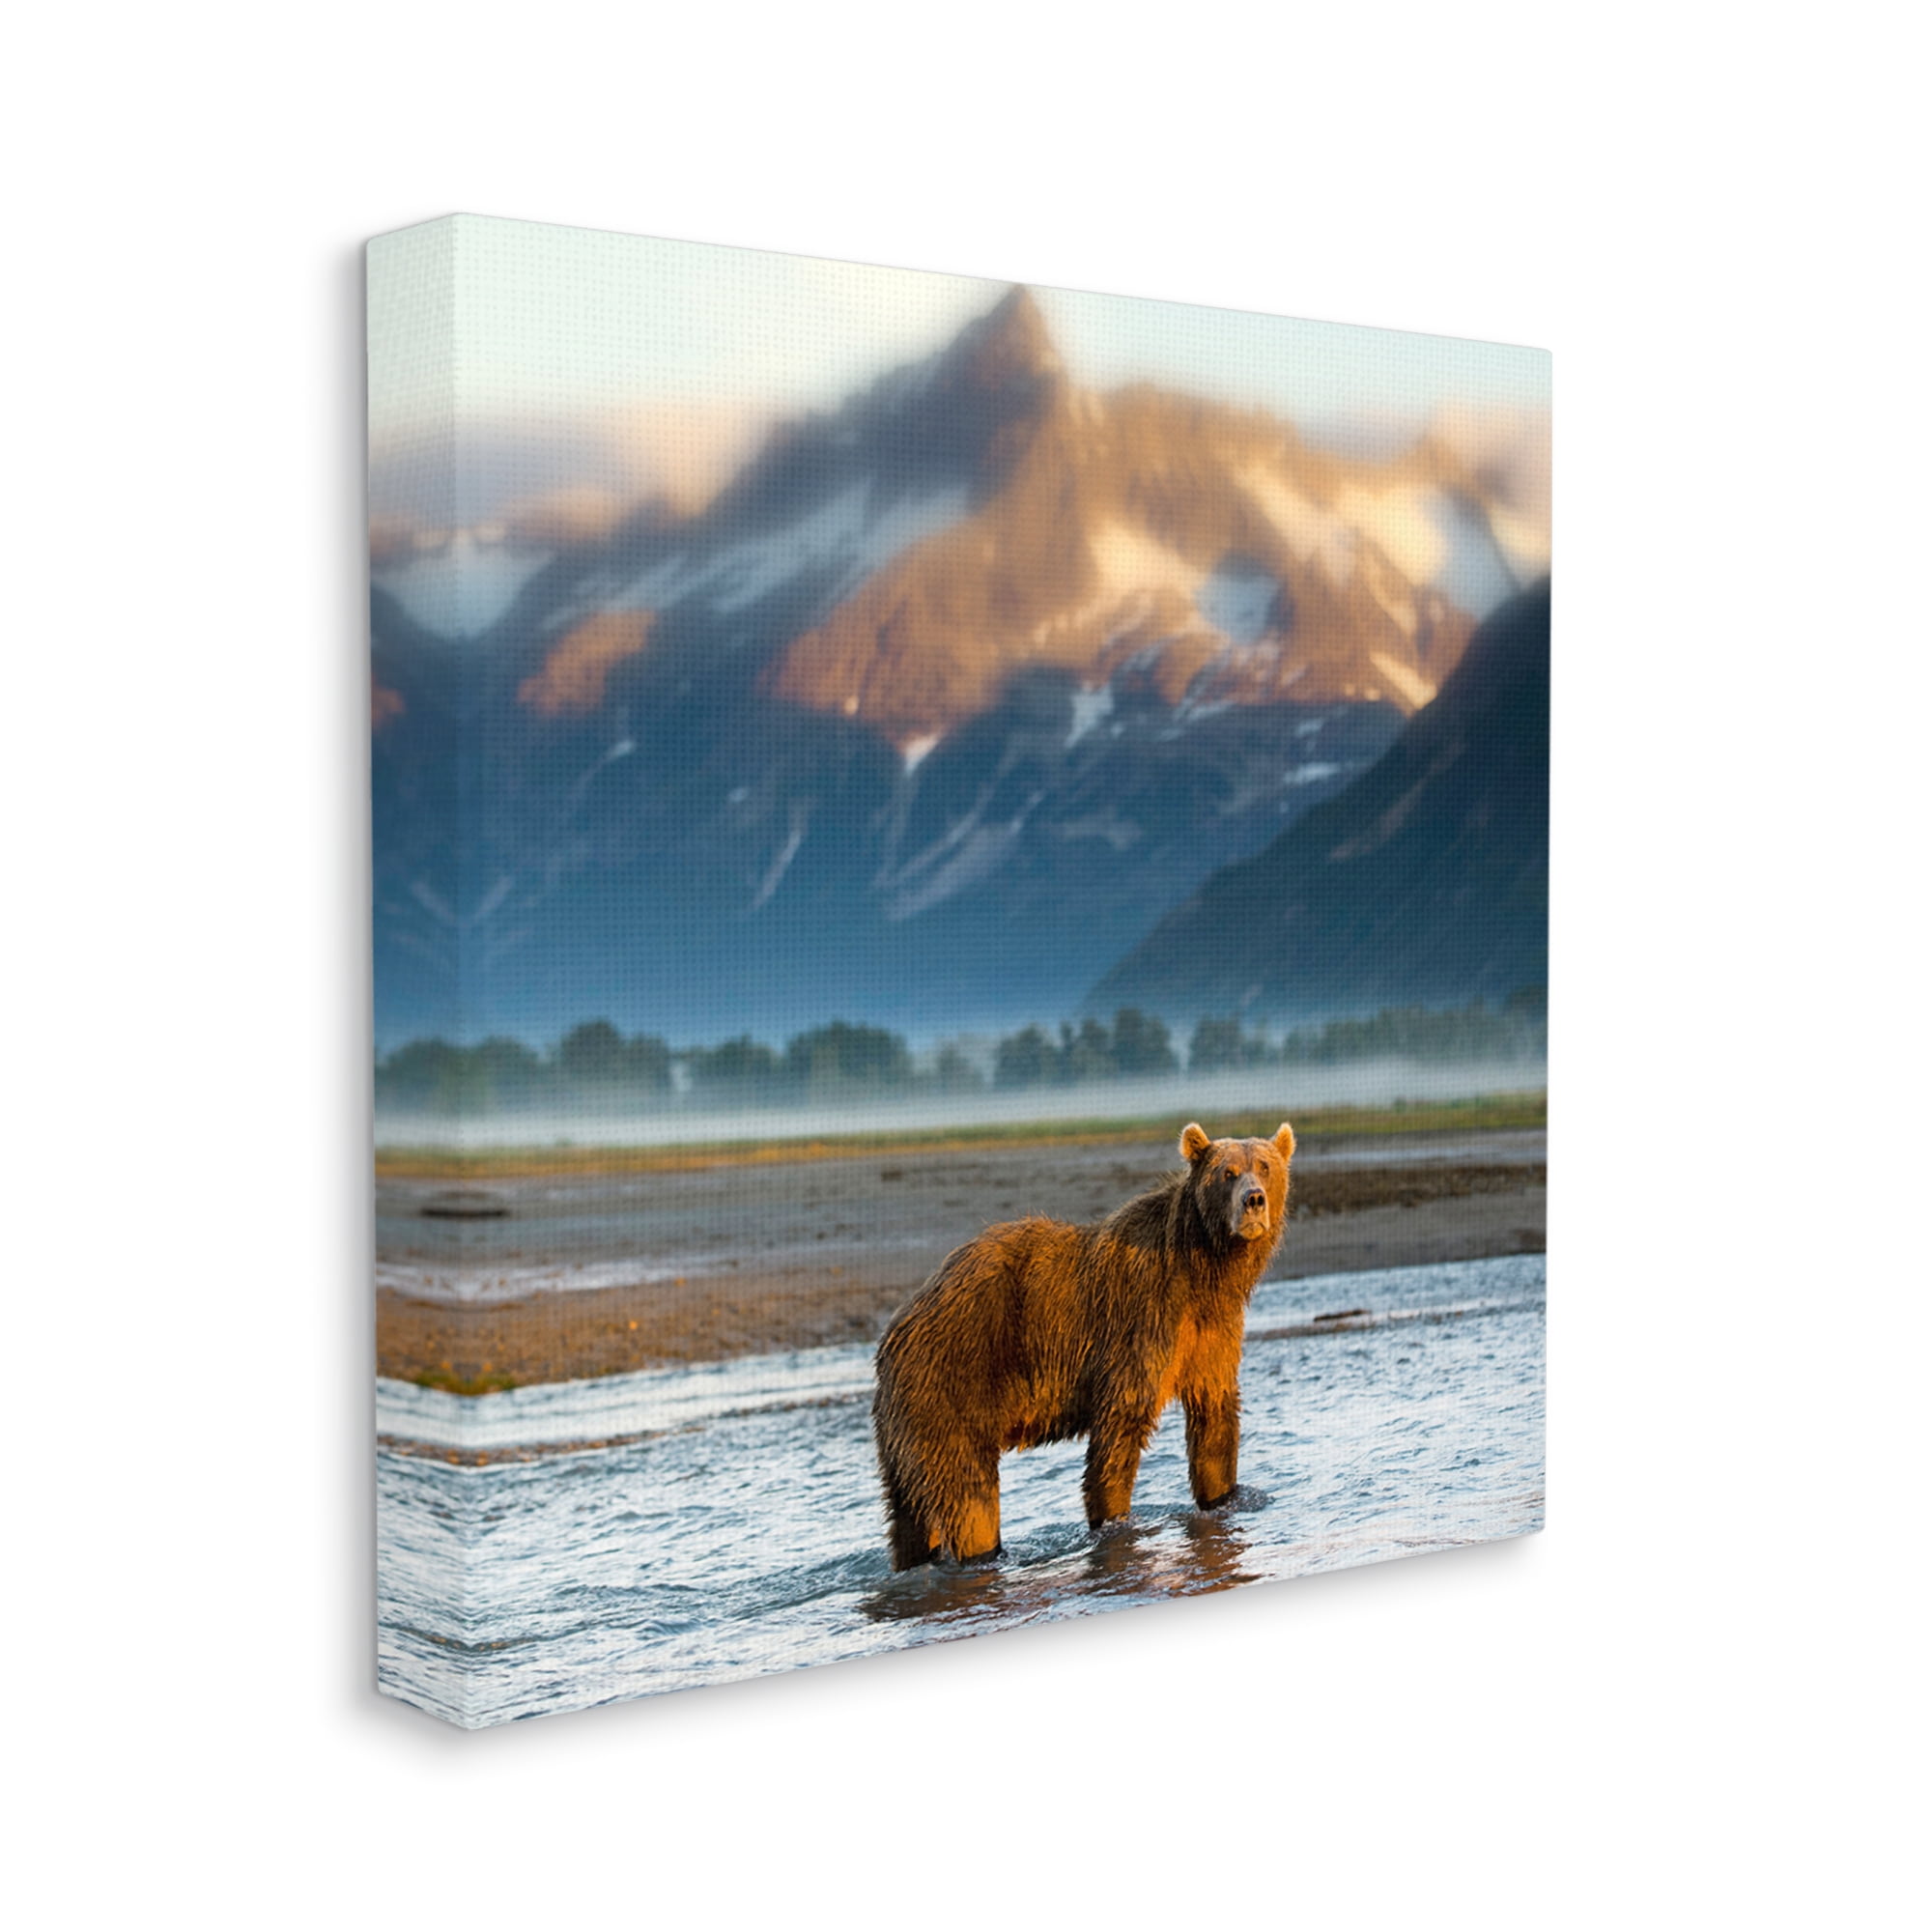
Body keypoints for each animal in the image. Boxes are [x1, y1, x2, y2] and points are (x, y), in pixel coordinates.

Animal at [872, 1120, 1295, 1570]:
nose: (1254, 1200)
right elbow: (1120, 1428)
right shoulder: (1141, 1320)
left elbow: (1214, 1417)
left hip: (906, 1430)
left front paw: (1226, 1499)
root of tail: (895, 1332)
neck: (1204, 1269)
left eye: (1264, 1166)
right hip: (954, 1384)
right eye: (1228, 1172)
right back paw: (983, 1554)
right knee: (970, 1498)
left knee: (908, 1515)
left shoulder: (1211, 1332)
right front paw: (1114, 1524)